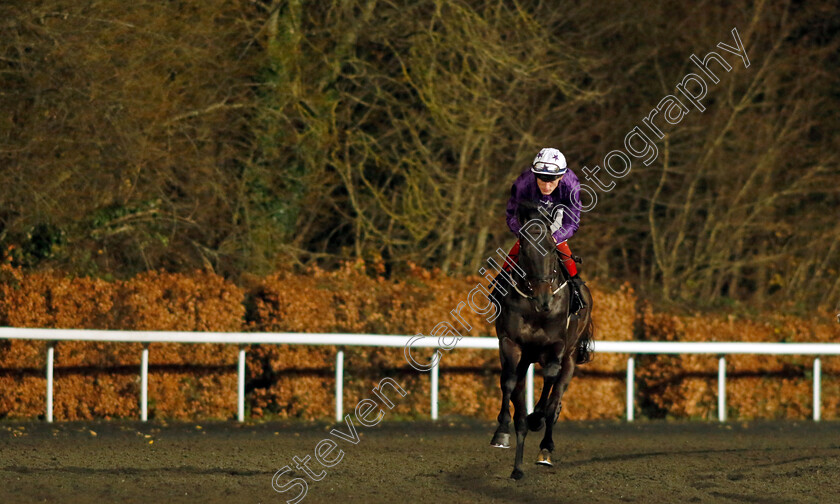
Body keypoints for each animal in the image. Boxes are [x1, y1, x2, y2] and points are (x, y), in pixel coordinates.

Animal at [488, 200, 592, 480]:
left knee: (555, 400)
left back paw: (545, 448)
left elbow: (550, 381)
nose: (544, 299)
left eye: (551, 249)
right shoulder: (511, 344)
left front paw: (537, 417)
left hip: (570, 358)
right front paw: (501, 432)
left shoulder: (557, 347)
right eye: (524, 250)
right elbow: (509, 383)